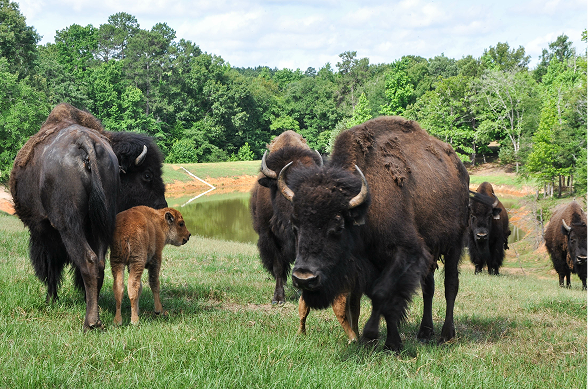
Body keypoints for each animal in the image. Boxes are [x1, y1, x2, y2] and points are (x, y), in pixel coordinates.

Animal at [9, 102, 168, 328]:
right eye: (147, 175)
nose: (163, 207)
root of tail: (85, 144)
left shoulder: (43, 232)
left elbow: (50, 267)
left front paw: (50, 300)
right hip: (100, 225)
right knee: (99, 264)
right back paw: (95, 312)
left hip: (69, 227)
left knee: (88, 261)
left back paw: (90, 322)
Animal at [280, 116, 468, 350]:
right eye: (295, 225)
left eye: (338, 226)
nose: (304, 278)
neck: (366, 208)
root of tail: (460, 169)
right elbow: (372, 301)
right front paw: (387, 341)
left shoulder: (405, 252)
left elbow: (383, 294)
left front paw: (374, 336)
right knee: (429, 288)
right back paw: (425, 332)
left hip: (454, 244)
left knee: (450, 285)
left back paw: (446, 334)